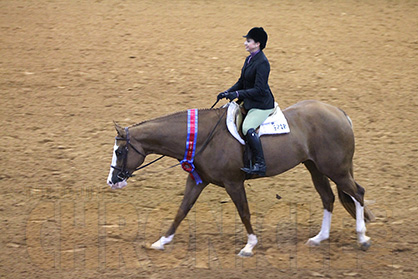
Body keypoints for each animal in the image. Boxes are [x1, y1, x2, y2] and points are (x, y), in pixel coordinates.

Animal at [106, 100, 374, 258]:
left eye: (120, 152)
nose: (112, 181)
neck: (202, 137)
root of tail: (339, 113)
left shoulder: (233, 183)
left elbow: (244, 211)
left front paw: (249, 246)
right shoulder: (197, 180)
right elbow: (182, 210)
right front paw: (161, 241)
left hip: (335, 169)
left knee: (357, 193)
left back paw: (362, 237)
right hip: (316, 168)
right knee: (328, 197)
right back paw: (320, 238)